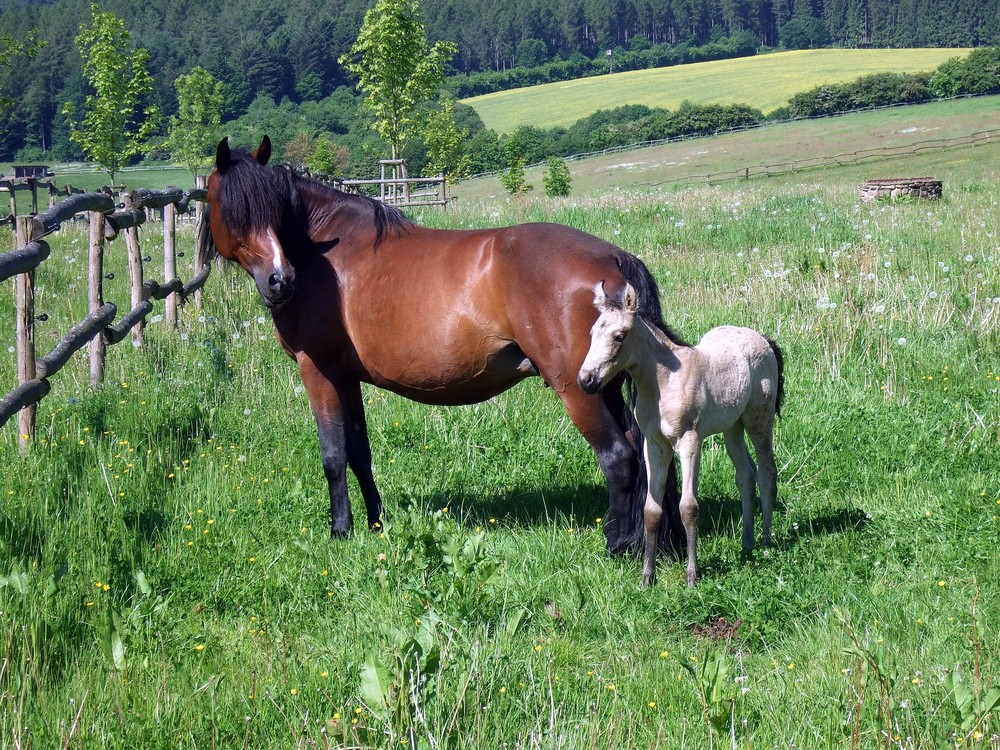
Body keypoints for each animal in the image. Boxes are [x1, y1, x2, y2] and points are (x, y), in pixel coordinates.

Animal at [195, 138, 680, 556]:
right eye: (235, 211)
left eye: (271, 210)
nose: (280, 281)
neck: (323, 255)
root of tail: (613, 259)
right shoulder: (347, 378)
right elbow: (359, 452)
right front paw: (376, 523)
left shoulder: (318, 371)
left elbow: (333, 455)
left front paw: (340, 531)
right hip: (607, 385)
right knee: (647, 451)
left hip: (577, 387)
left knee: (619, 457)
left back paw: (616, 545)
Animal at [580, 282, 780, 588]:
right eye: (592, 333)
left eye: (619, 336)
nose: (586, 379)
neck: (664, 384)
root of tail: (763, 339)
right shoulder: (654, 445)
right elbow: (651, 511)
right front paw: (647, 577)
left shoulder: (689, 441)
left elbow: (689, 507)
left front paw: (692, 576)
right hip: (732, 426)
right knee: (746, 475)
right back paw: (747, 545)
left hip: (759, 419)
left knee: (767, 472)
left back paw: (767, 542)